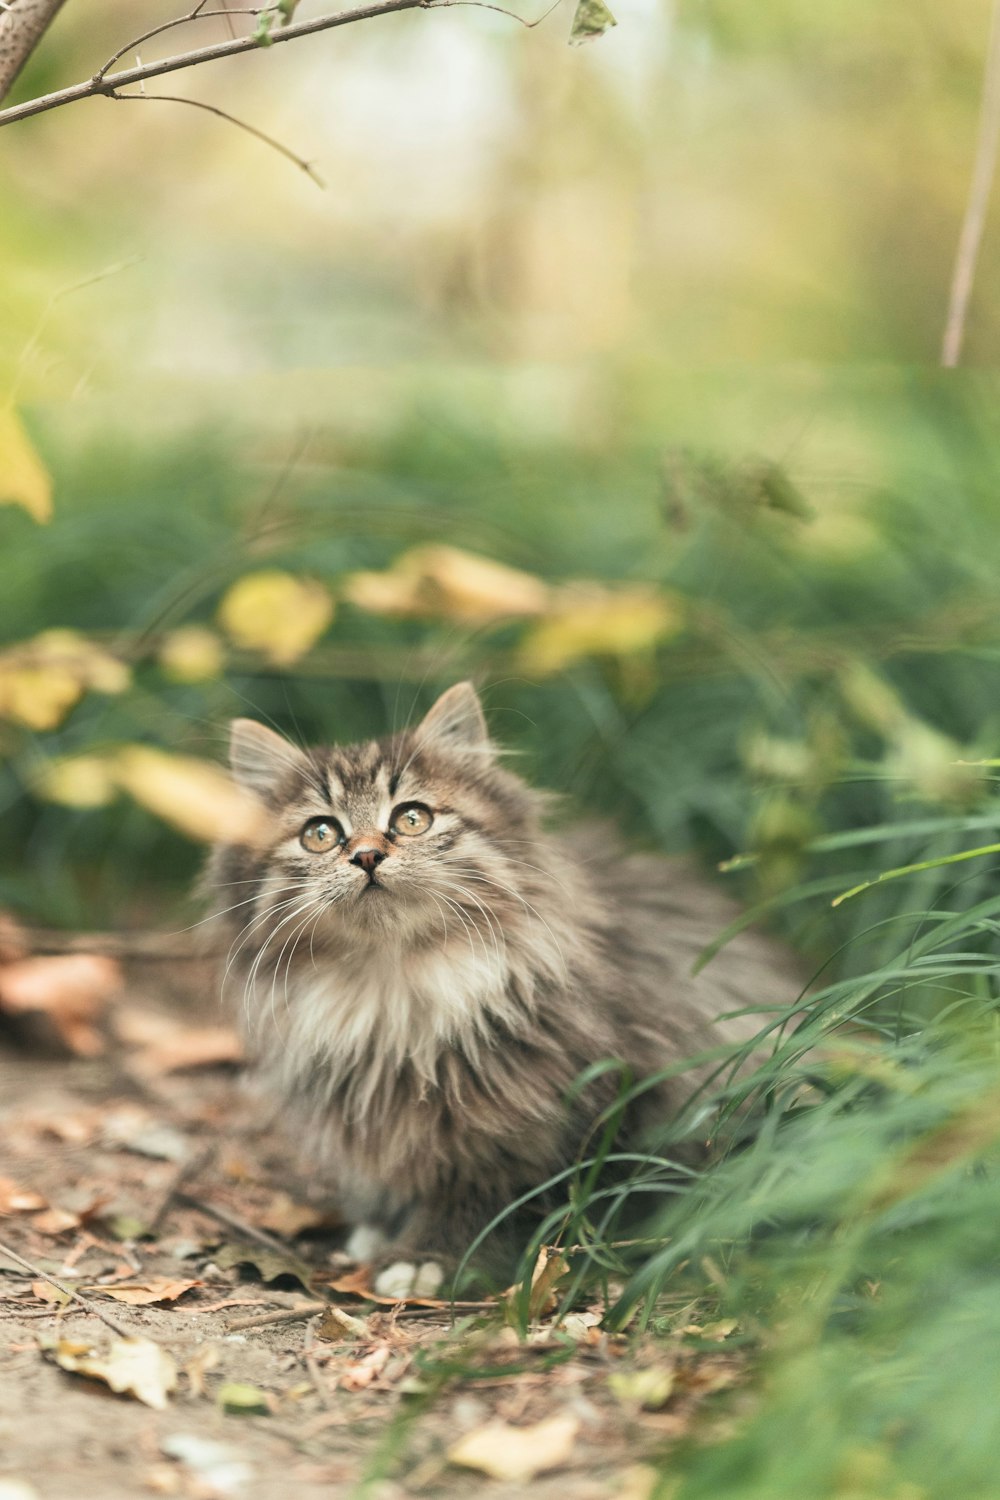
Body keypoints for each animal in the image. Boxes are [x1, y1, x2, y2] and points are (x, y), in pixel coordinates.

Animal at [206, 687, 803, 1296]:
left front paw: (430, 1257)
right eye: (320, 833)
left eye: (412, 818)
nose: (368, 855)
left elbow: (495, 1197)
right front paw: (383, 1231)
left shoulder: (549, 1122)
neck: (394, 991)